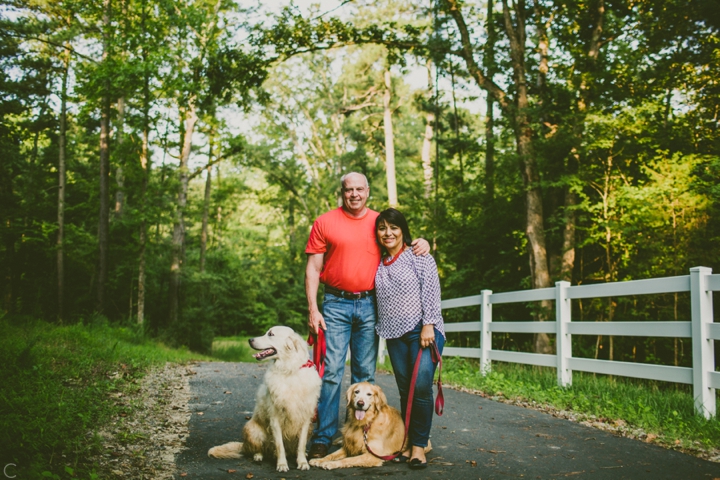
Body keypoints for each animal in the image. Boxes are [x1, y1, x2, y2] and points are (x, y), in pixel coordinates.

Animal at [208, 326, 320, 472]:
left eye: (271, 334)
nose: (250, 340)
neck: (289, 370)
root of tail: (243, 444)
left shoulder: (306, 418)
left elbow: (301, 445)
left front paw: (302, 462)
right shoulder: (275, 418)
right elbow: (279, 445)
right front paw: (282, 464)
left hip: (310, 428)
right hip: (253, 431)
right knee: (258, 449)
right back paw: (258, 456)